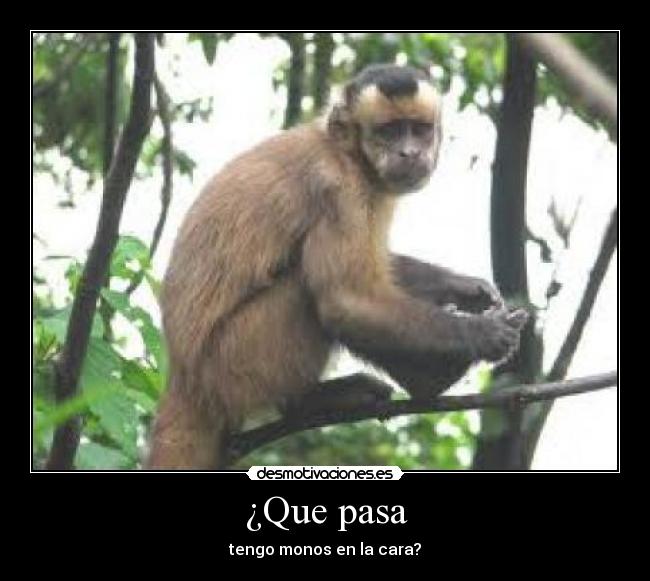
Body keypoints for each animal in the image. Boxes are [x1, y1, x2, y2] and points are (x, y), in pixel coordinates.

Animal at [146, 64, 528, 469]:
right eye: (389, 131)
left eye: (418, 129)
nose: (409, 152)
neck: (348, 155)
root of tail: (183, 375)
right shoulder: (338, 190)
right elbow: (348, 299)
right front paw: (482, 334)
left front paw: (465, 287)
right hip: (231, 365)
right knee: (310, 289)